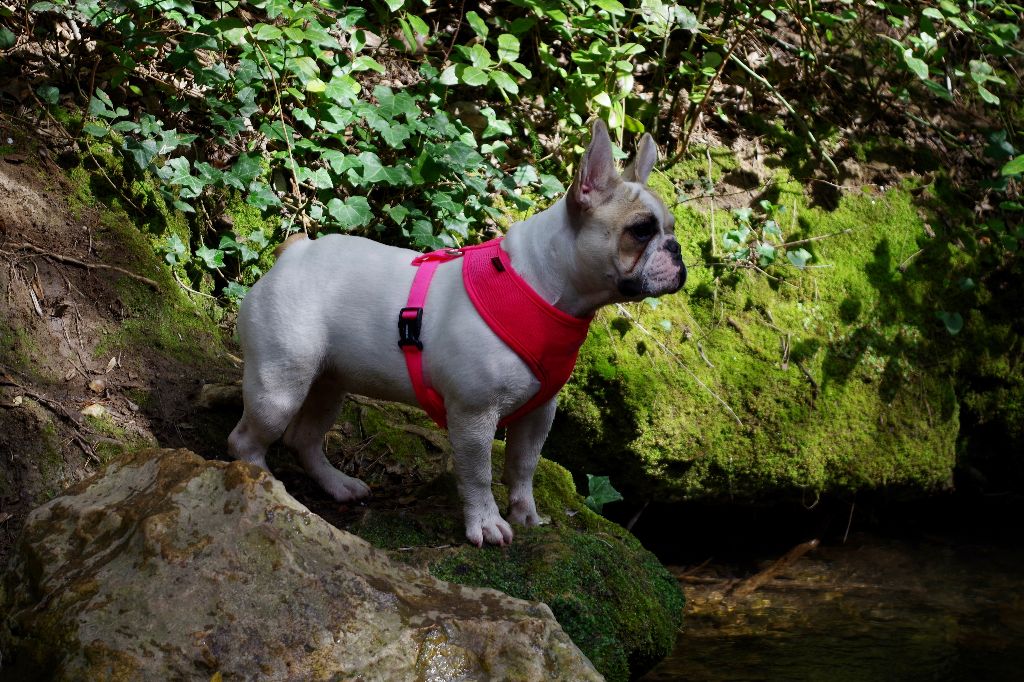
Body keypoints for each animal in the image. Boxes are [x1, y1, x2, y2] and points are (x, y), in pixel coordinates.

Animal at [228, 119, 684, 544]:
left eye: (671, 228)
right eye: (641, 230)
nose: (677, 249)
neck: (541, 286)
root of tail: (295, 252)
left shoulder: (538, 413)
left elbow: (523, 467)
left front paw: (527, 515)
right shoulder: (473, 415)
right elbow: (479, 474)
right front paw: (487, 523)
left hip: (328, 381)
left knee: (304, 438)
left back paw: (337, 485)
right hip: (280, 386)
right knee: (247, 441)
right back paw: (263, 485)